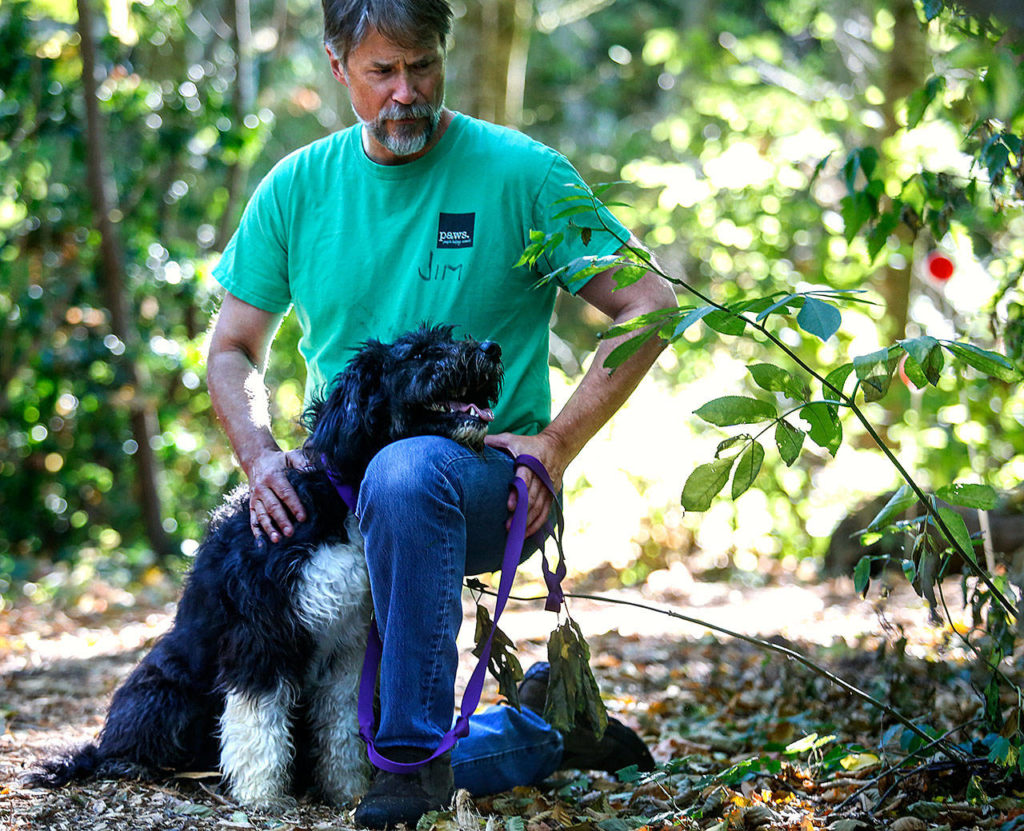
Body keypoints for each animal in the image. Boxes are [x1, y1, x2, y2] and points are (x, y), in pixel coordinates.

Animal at [34, 325, 505, 810]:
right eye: (417, 354)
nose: (492, 350)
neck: (339, 497)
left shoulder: (349, 647)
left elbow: (340, 724)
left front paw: (347, 789)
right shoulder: (261, 634)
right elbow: (257, 719)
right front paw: (261, 794)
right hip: (165, 694)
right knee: (120, 746)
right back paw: (135, 765)